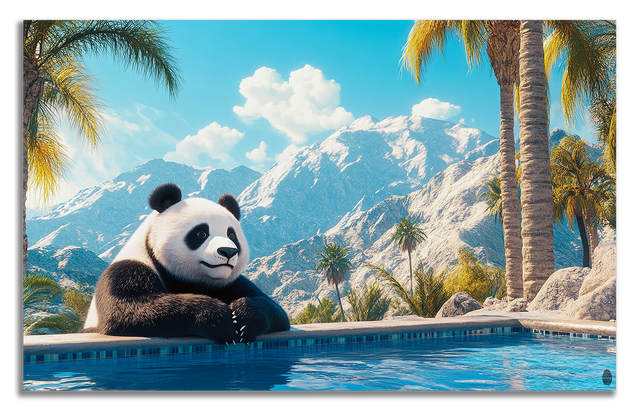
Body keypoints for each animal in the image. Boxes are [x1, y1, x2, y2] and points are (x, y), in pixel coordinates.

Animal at [83, 183, 290, 344]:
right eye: (201, 233)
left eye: (232, 235)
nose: (228, 252)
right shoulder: (128, 268)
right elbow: (128, 307)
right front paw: (218, 318)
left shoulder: (227, 283)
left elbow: (277, 312)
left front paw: (243, 317)